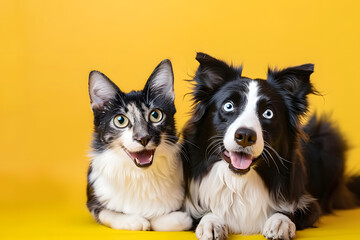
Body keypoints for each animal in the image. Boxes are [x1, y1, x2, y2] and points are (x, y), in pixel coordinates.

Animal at [86, 59, 194, 231]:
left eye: (155, 115)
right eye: (120, 120)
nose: (143, 138)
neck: (140, 174)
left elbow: (178, 220)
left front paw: (161, 219)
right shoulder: (93, 199)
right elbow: (107, 213)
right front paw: (133, 220)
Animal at [183, 53, 360, 240]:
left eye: (268, 113)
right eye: (229, 106)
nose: (245, 136)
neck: (240, 181)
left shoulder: (310, 204)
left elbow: (290, 210)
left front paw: (280, 222)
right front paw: (211, 222)